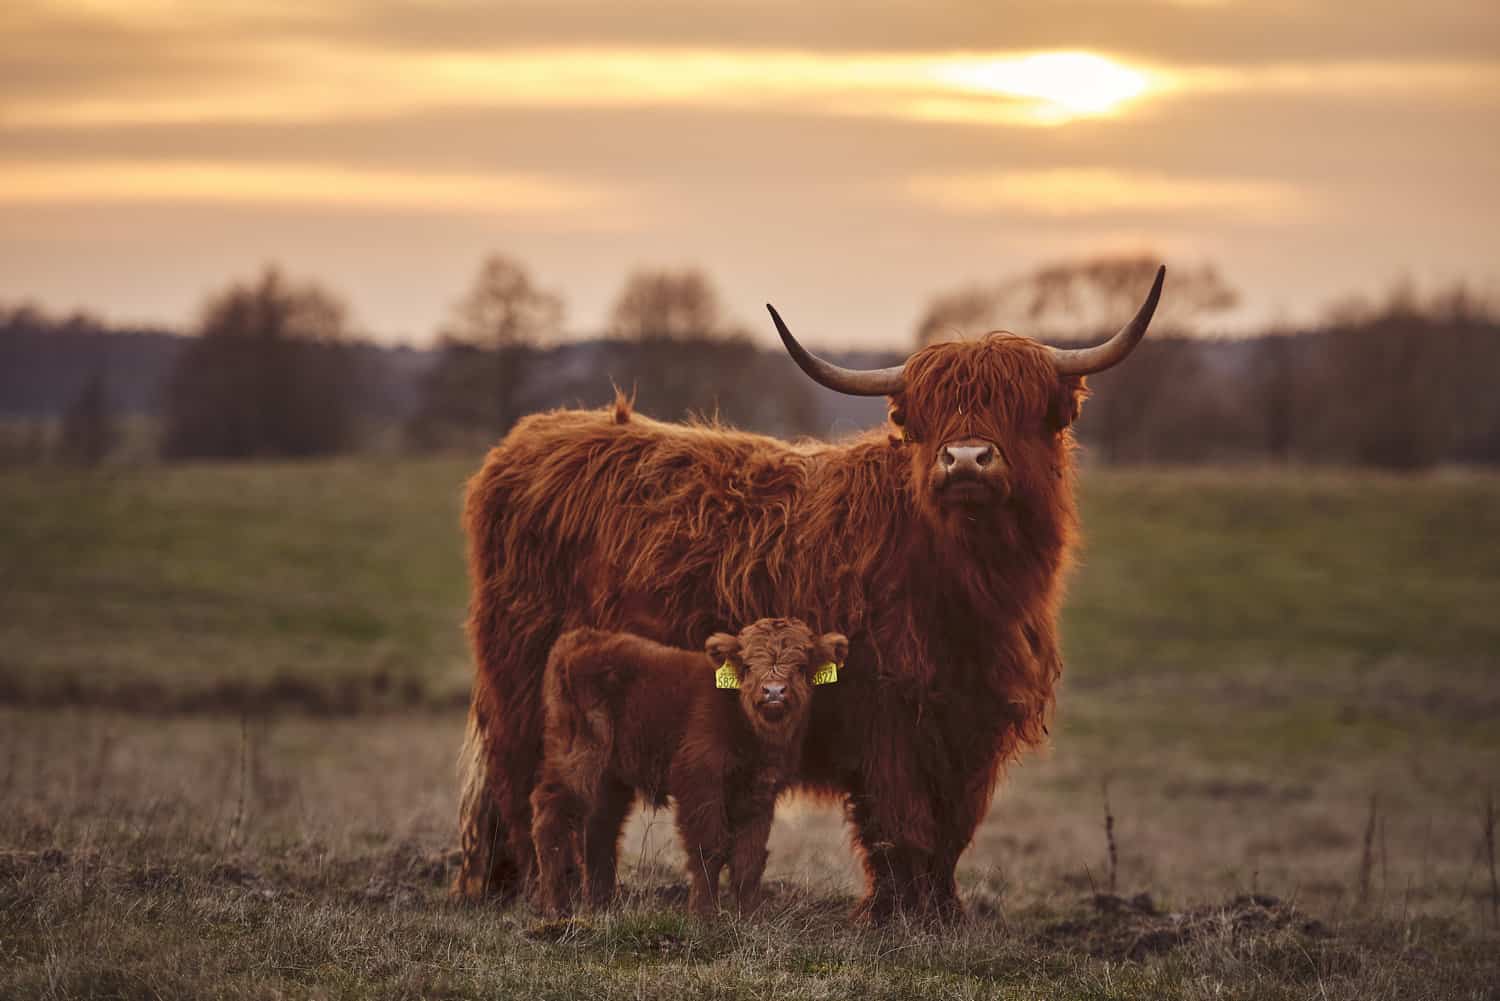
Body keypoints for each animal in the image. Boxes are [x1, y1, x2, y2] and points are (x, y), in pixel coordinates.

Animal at [530, 618, 848, 918]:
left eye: (802, 665)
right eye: (747, 665)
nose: (773, 692)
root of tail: (581, 638)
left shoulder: (760, 791)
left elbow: (749, 856)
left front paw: (750, 916)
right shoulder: (700, 781)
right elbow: (710, 849)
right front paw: (703, 914)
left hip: (610, 777)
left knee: (600, 828)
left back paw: (601, 906)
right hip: (579, 757)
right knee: (551, 816)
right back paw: (556, 908)